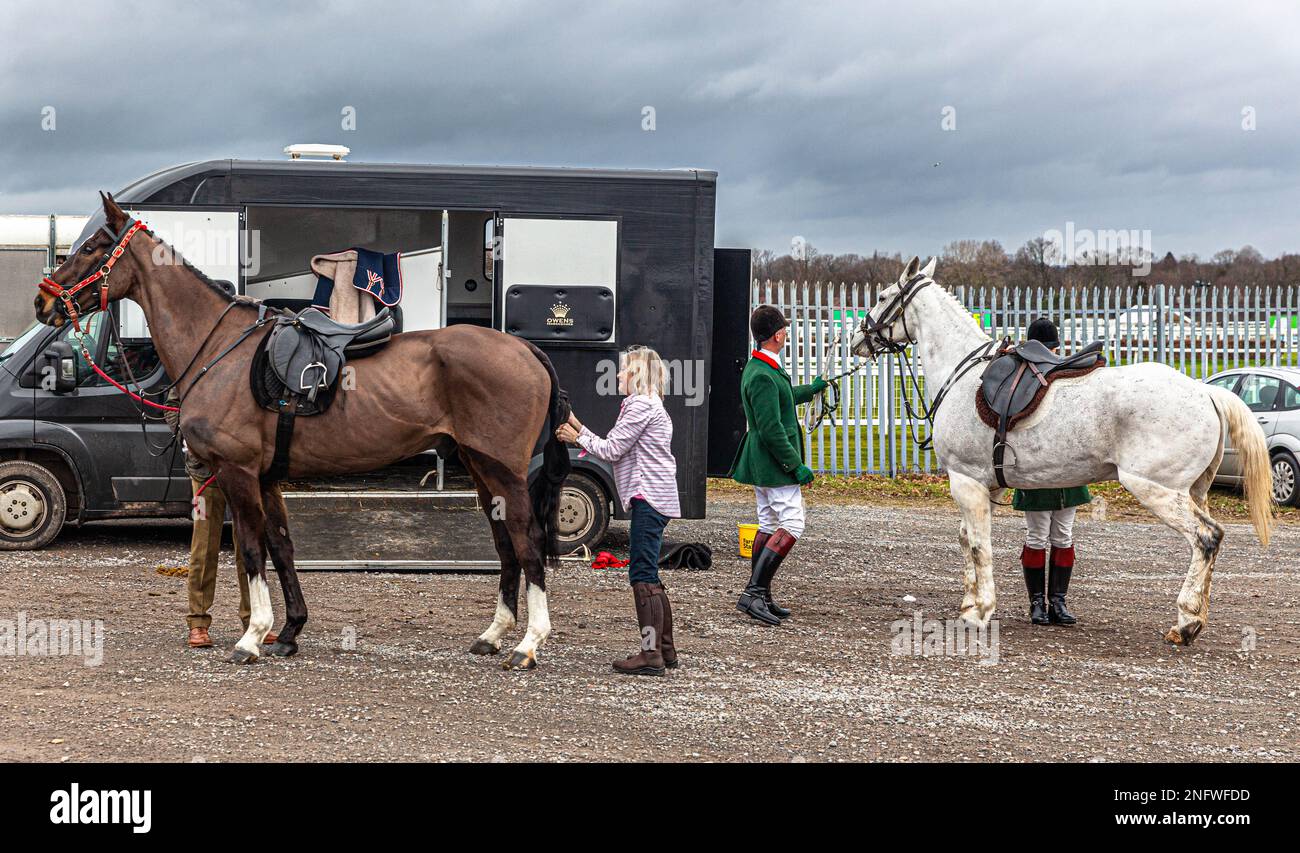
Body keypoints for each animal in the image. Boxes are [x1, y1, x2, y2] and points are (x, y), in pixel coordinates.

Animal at [29, 191, 569, 665]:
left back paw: (528, 644)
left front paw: (251, 637)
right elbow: (281, 547)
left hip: (503, 469)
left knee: (526, 539)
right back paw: (493, 635)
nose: (42, 303)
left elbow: (251, 549)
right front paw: (288, 632)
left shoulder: (239, 472)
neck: (218, 348)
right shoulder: (267, 477)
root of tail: (525, 350)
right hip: (480, 467)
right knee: (505, 542)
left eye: (92, 248)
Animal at [847, 256, 1274, 642]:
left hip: (1157, 489)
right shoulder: (981, 485)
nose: (856, 339)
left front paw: (980, 612)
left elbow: (979, 547)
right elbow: (969, 542)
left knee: (1206, 538)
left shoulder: (965, 481)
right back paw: (1193, 618)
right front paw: (970, 605)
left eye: (883, 296)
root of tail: (1204, 391)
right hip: (1194, 492)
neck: (964, 374)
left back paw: (1186, 623)